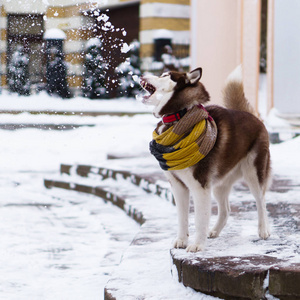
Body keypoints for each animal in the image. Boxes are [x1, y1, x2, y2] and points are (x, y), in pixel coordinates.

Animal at [139, 67, 270, 252]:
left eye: (165, 75)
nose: (142, 74)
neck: (179, 116)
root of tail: (252, 115)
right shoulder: (178, 186)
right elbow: (182, 217)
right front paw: (182, 240)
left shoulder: (200, 186)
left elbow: (200, 219)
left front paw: (197, 245)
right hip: (219, 185)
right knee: (226, 209)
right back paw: (214, 231)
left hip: (254, 174)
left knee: (261, 201)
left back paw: (264, 229)